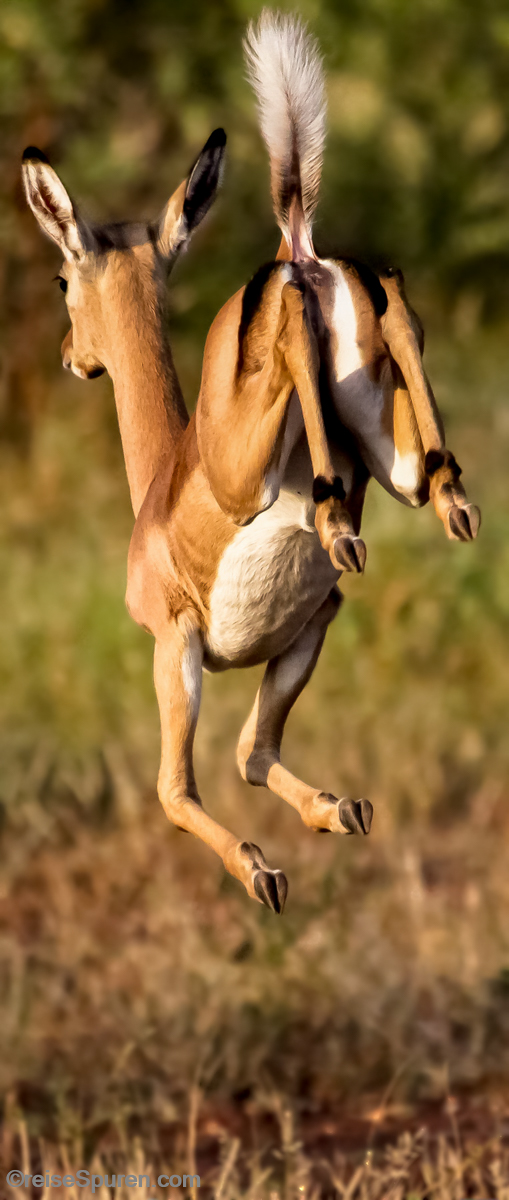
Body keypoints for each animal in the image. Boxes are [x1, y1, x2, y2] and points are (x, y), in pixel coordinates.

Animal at [22, 11, 480, 914]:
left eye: (61, 277)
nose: (70, 357)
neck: (158, 486)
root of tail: (297, 245)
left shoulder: (175, 640)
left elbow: (177, 787)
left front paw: (264, 871)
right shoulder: (314, 623)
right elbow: (253, 753)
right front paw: (341, 809)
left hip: (251, 461)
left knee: (294, 327)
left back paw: (339, 520)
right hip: (393, 446)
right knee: (391, 310)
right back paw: (446, 506)